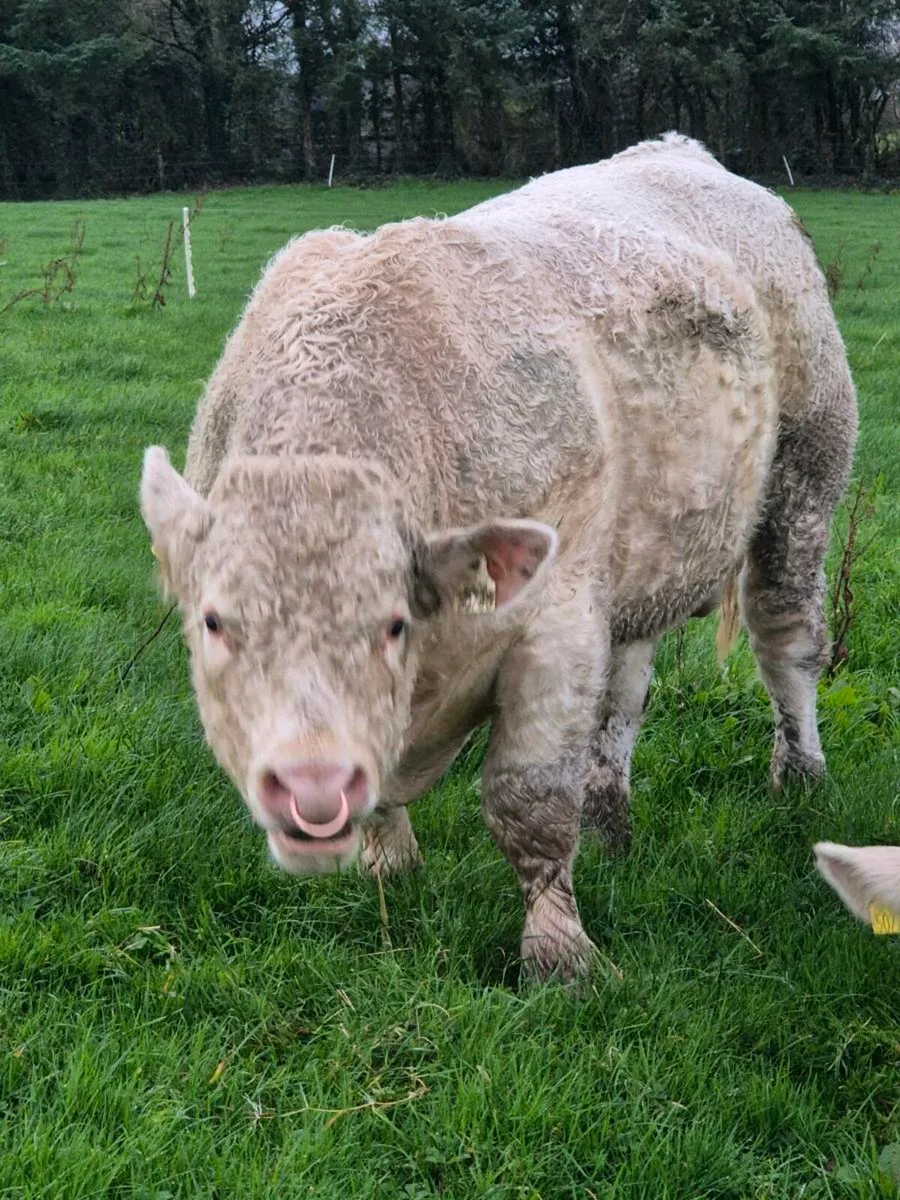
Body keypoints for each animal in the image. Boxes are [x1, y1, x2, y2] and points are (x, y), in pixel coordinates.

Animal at [140, 134, 857, 980]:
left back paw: (799, 776)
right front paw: (390, 864)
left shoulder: (555, 619)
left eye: (391, 625)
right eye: (214, 623)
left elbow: (528, 800)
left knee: (786, 639)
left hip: (806, 472)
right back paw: (609, 823)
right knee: (624, 692)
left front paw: (560, 954)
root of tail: (680, 151)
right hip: (637, 556)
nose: (310, 784)